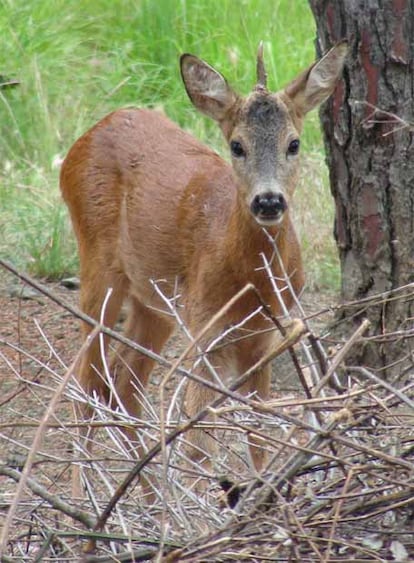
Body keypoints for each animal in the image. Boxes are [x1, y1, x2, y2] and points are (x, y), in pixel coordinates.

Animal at [60, 41, 346, 496]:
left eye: (294, 143)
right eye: (237, 145)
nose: (269, 201)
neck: (252, 281)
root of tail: (85, 137)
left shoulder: (268, 333)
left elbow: (260, 427)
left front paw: (262, 490)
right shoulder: (205, 325)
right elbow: (199, 442)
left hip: (154, 301)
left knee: (122, 385)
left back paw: (148, 496)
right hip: (99, 267)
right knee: (85, 385)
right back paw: (86, 497)